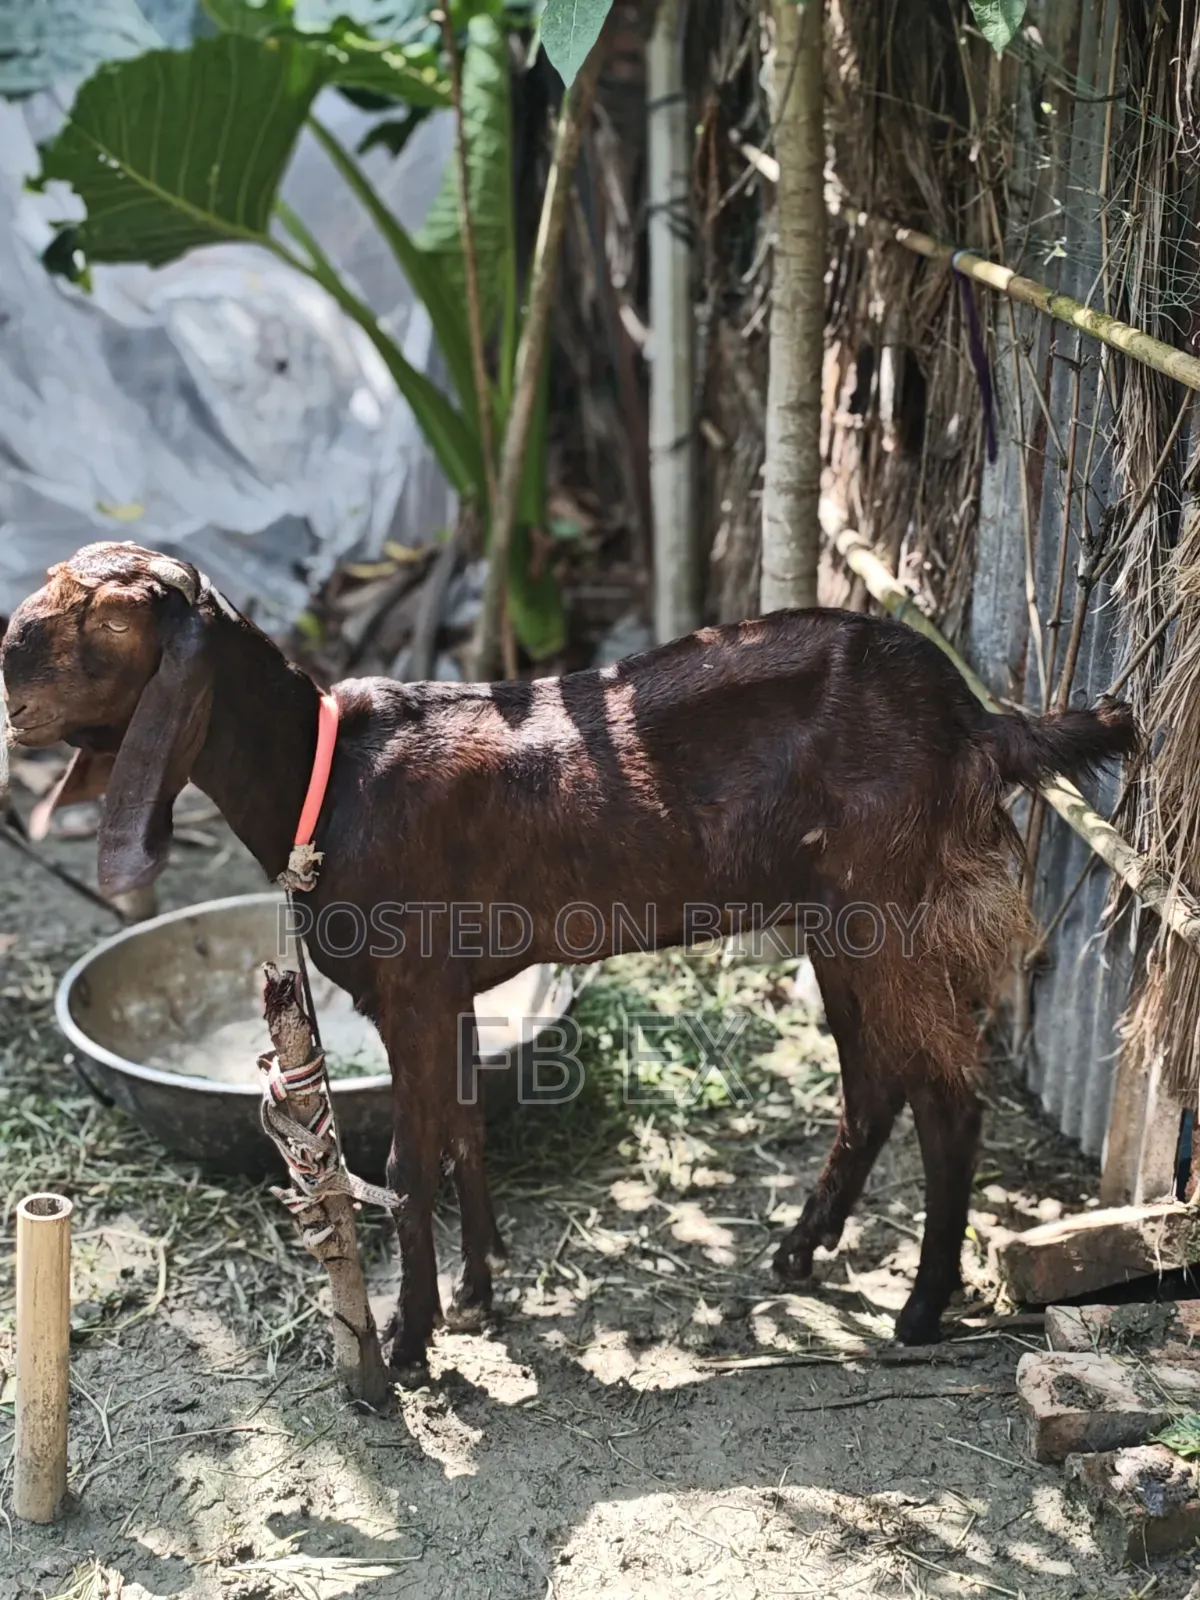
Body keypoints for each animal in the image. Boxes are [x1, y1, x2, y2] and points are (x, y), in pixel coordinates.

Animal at [0, 542, 1136, 1369]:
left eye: (97, 614)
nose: (6, 681)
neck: (327, 779)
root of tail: (976, 722)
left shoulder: (410, 990)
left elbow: (408, 1158)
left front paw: (409, 1345)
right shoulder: (449, 988)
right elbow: (462, 1133)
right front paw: (477, 1293)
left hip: (890, 902)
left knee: (947, 1099)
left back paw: (920, 1310)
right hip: (840, 919)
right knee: (875, 1082)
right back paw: (800, 1250)